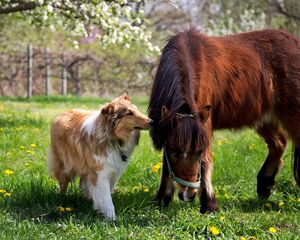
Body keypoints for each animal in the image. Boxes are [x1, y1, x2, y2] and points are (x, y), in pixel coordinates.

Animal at [148, 29, 300, 213]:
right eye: (173, 152)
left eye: (198, 152)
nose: (189, 194)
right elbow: (166, 165)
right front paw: (162, 199)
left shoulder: (204, 124)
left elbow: (205, 162)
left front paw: (209, 204)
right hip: (264, 118)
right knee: (279, 143)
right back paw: (264, 185)